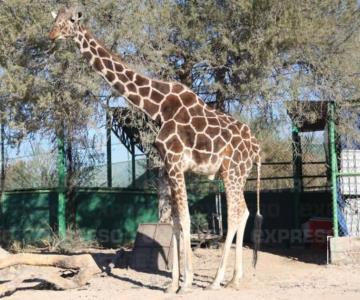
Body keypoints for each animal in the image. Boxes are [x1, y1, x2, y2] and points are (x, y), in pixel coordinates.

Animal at [50, 7, 262, 292]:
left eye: (70, 21)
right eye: (55, 19)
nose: (52, 35)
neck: (159, 106)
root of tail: (257, 147)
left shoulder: (175, 163)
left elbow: (185, 220)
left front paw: (187, 282)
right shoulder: (169, 166)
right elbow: (174, 221)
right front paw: (172, 284)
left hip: (232, 171)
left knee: (235, 215)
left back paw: (216, 281)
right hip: (238, 174)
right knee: (245, 212)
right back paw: (234, 278)